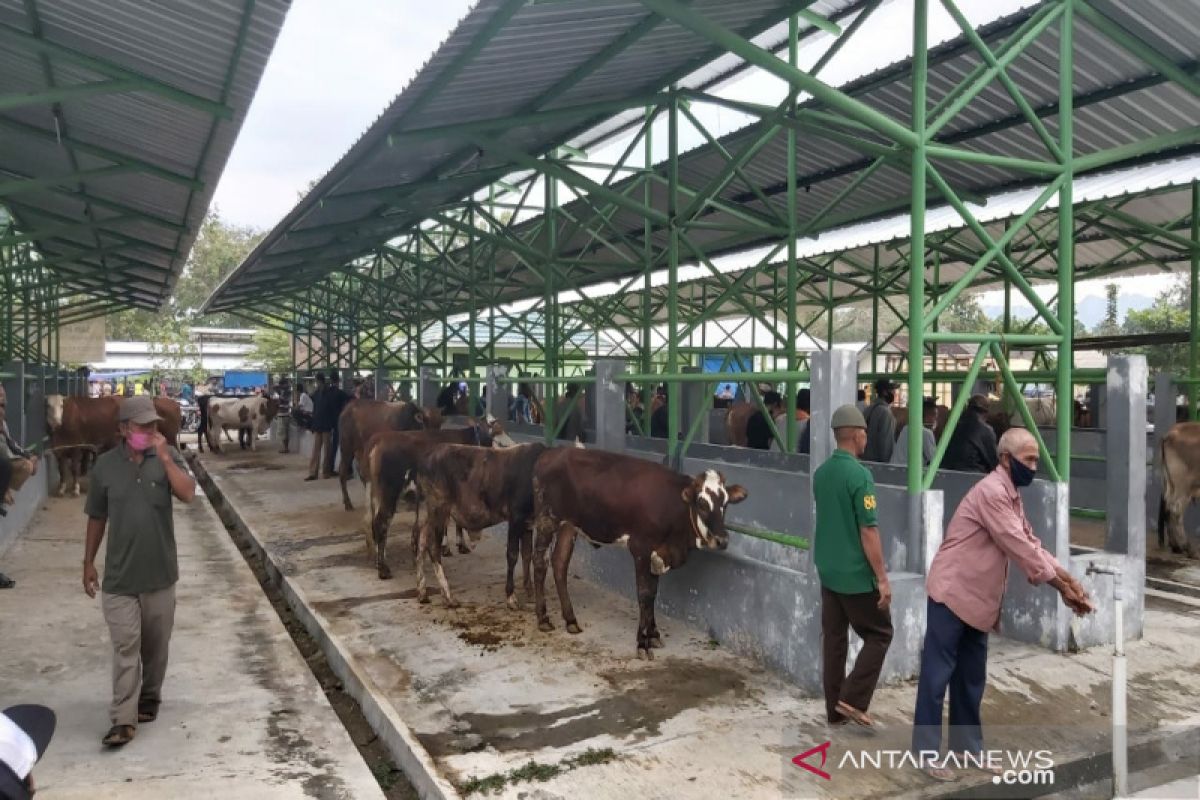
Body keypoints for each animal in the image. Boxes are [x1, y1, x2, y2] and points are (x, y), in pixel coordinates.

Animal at [357, 417, 513, 578]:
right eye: (499, 436)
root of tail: (378, 440)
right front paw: (457, 546)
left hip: (373, 493)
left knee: (371, 522)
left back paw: (378, 560)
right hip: (388, 493)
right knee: (380, 523)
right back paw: (383, 569)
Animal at [410, 443, 547, 606]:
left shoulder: (527, 522)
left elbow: (526, 555)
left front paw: (529, 591)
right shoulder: (516, 518)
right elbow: (513, 555)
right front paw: (511, 596)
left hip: (428, 513)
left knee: (421, 542)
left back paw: (422, 592)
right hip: (439, 509)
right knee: (432, 547)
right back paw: (448, 596)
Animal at [532, 453, 744, 662]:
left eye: (725, 504)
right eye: (701, 503)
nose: (722, 540)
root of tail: (552, 454)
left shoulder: (657, 554)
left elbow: (653, 594)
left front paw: (654, 634)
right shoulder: (641, 548)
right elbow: (644, 593)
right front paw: (642, 643)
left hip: (569, 526)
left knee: (560, 563)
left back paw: (570, 620)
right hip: (547, 520)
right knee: (540, 564)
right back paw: (543, 618)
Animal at [1152, 422, 1200, 561]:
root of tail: (1171, 433)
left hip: (1170, 483)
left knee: (1168, 507)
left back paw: (1175, 546)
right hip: (1183, 486)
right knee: (1176, 510)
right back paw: (1189, 549)